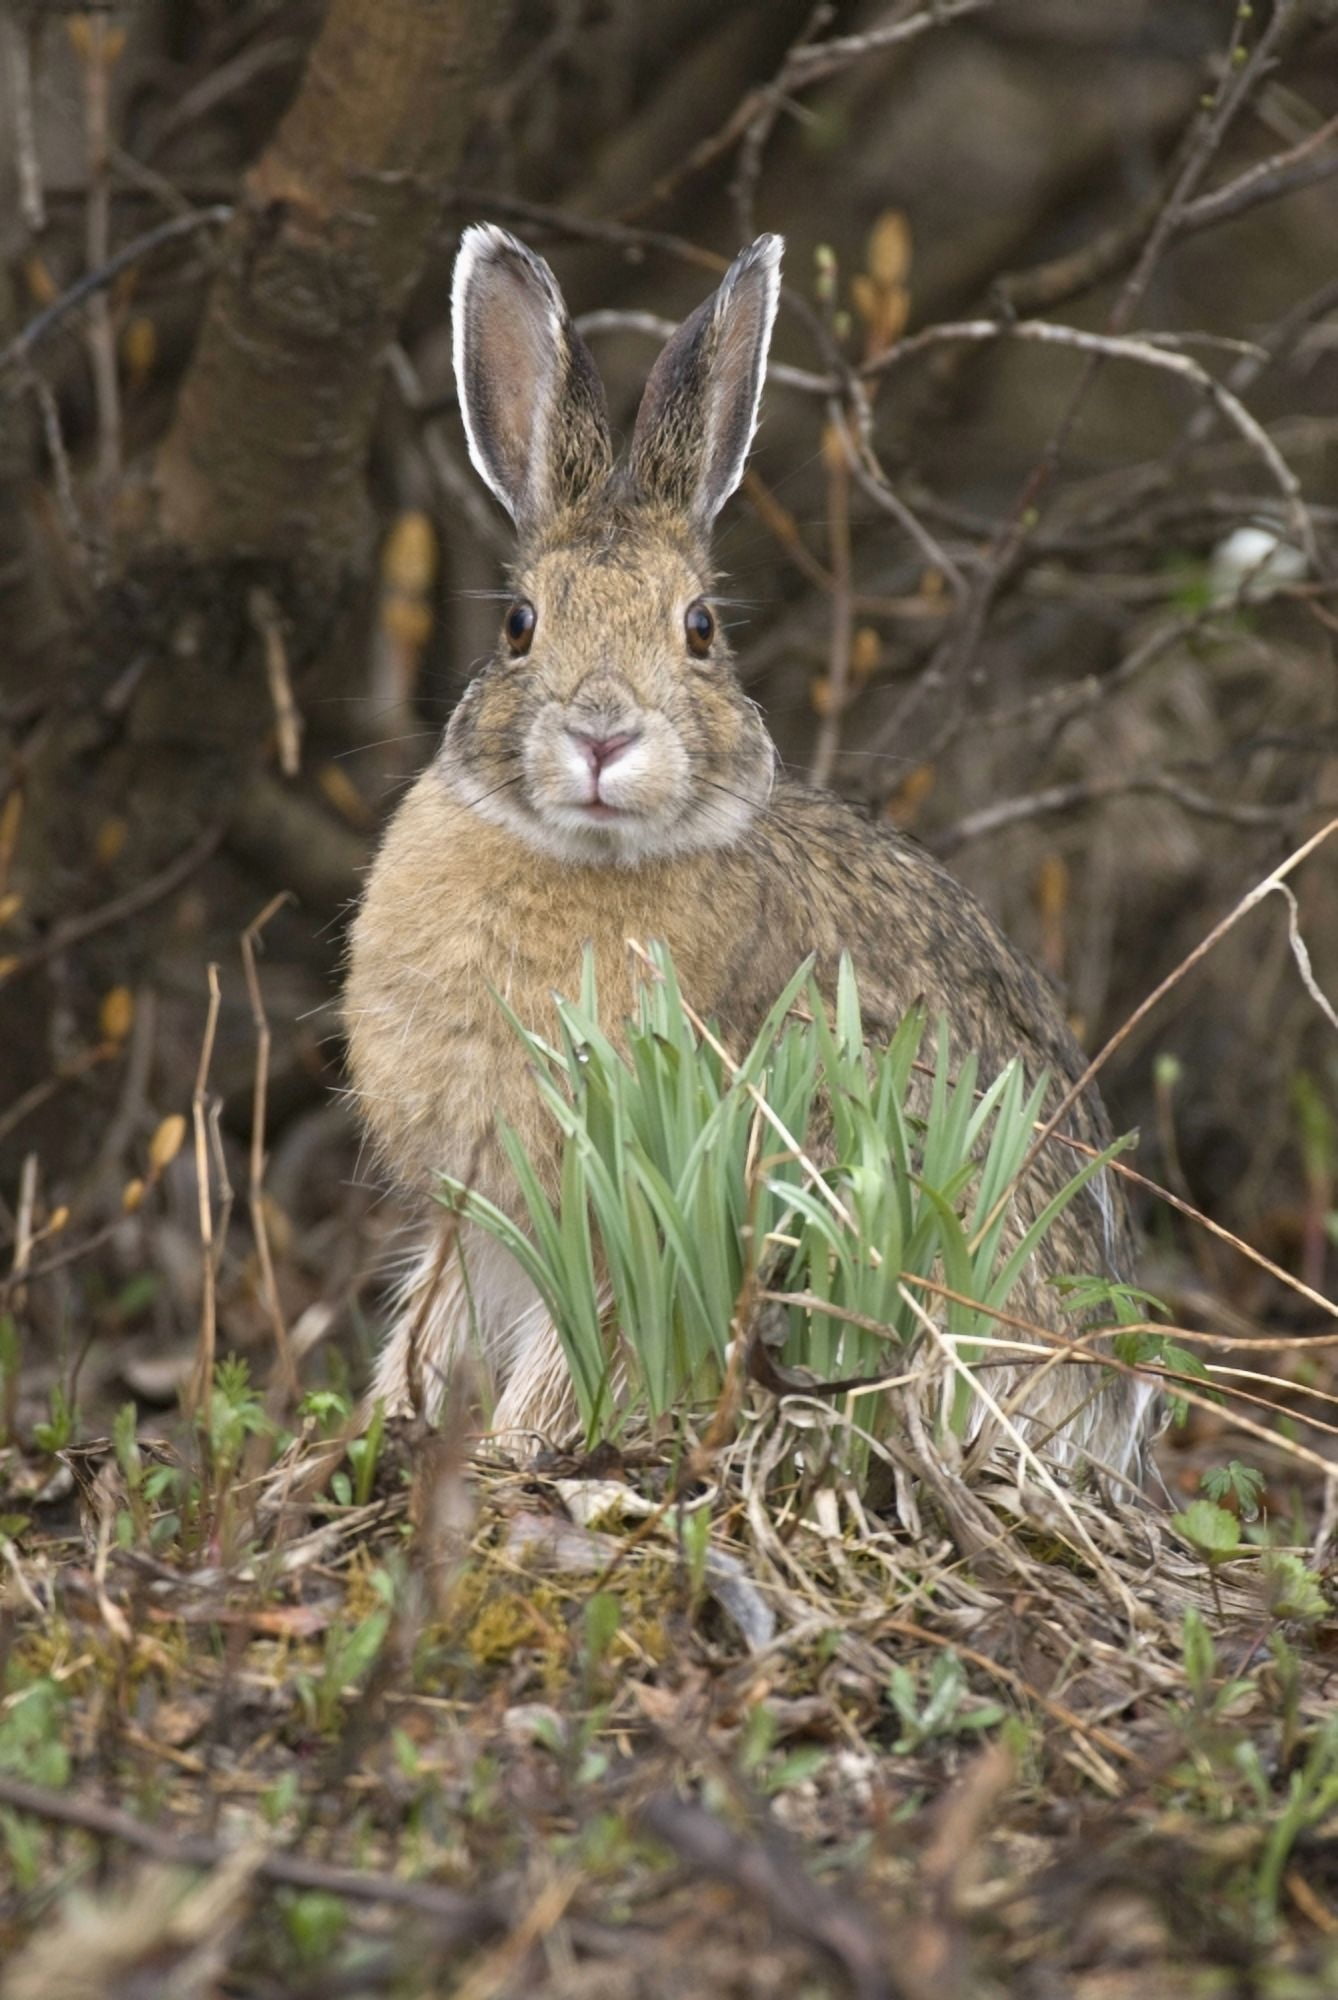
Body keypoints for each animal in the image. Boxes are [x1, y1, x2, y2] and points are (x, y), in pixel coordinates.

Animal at [345, 225, 1157, 1484]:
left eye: (701, 628)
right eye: (519, 625)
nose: (601, 733)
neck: (583, 857)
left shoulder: (631, 1218)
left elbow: (581, 1358)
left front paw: (515, 1448)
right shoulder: (472, 1217)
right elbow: (434, 1325)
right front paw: (388, 1426)